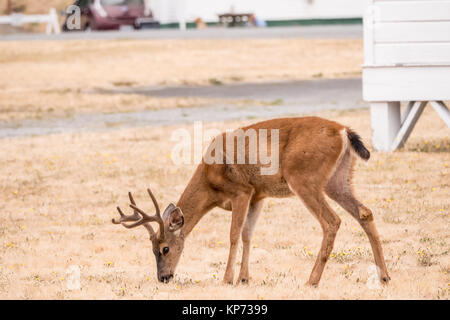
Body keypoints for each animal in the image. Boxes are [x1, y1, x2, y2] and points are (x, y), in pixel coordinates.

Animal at [112, 116, 390, 286]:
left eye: (164, 249)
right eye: (151, 250)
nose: (163, 278)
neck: (209, 181)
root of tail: (343, 131)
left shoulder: (241, 191)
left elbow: (234, 234)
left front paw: (227, 279)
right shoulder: (259, 195)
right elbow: (248, 235)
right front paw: (244, 279)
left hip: (303, 177)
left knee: (331, 221)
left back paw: (311, 280)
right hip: (338, 179)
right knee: (365, 213)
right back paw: (384, 277)